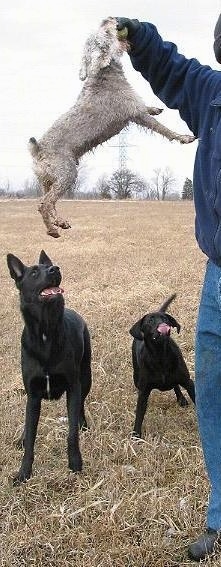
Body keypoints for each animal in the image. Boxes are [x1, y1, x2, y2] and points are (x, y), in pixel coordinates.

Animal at [7, 251, 91, 486]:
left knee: (81, 405)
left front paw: (75, 463)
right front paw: (23, 474)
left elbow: (71, 434)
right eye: (34, 272)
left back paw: (83, 424)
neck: (45, 332)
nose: (56, 269)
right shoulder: (33, 396)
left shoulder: (73, 387)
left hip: (86, 378)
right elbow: (31, 438)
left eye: (49, 267)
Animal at [129, 296, 195, 438]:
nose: (163, 324)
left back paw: (181, 399)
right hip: (136, 377)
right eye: (150, 321)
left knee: (175, 385)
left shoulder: (188, 382)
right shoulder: (144, 391)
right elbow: (139, 413)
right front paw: (136, 434)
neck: (161, 356)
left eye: (165, 319)